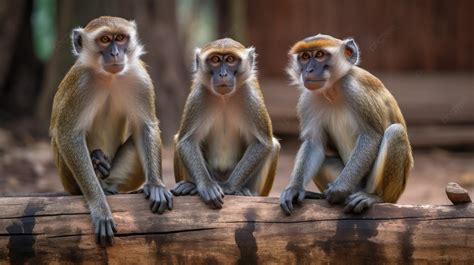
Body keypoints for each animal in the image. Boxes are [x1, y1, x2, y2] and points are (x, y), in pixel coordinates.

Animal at [49, 16, 172, 245]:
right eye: (105, 39)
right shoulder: (80, 84)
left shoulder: (139, 77)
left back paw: (108, 179)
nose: (115, 53)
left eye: (121, 38)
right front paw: (99, 205)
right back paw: (97, 170)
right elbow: (68, 135)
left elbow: (145, 126)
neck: (109, 77)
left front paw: (156, 185)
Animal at [172, 38, 280, 208]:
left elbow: (263, 143)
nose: (223, 74)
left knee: (273, 146)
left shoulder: (251, 98)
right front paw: (206, 185)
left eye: (230, 59)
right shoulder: (198, 96)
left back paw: (246, 192)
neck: (224, 98)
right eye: (215, 59)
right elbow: (186, 141)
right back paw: (190, 186)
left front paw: (228, 187)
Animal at [280, 33, 412, 214]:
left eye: (320, 55)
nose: (309, 70)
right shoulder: (308, 99)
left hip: (389, 191)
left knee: (395, 132)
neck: (332, 90)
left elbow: (371, 135)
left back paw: (375, 197)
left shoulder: (355, 90)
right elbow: (314, 143)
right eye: (305, 57)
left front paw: (339, 189)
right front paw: (294, 188)